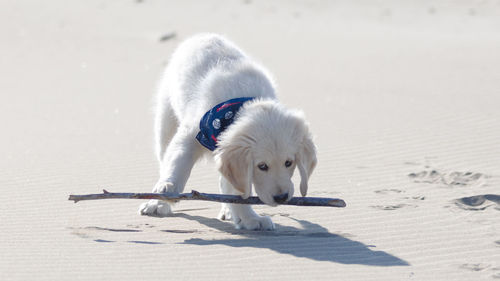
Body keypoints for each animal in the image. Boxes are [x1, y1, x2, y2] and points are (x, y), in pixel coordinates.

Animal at [139, 33, 316, 230]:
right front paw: (168, 188)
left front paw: (249, 218)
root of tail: (203, 35)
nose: (281, 197)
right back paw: (157, 203)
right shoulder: (191, 134)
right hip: (166, 118)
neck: (236, 108)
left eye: (289, 163)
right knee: (164, 158)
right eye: (262, 166)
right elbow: (178, 162)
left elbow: (237, 191)